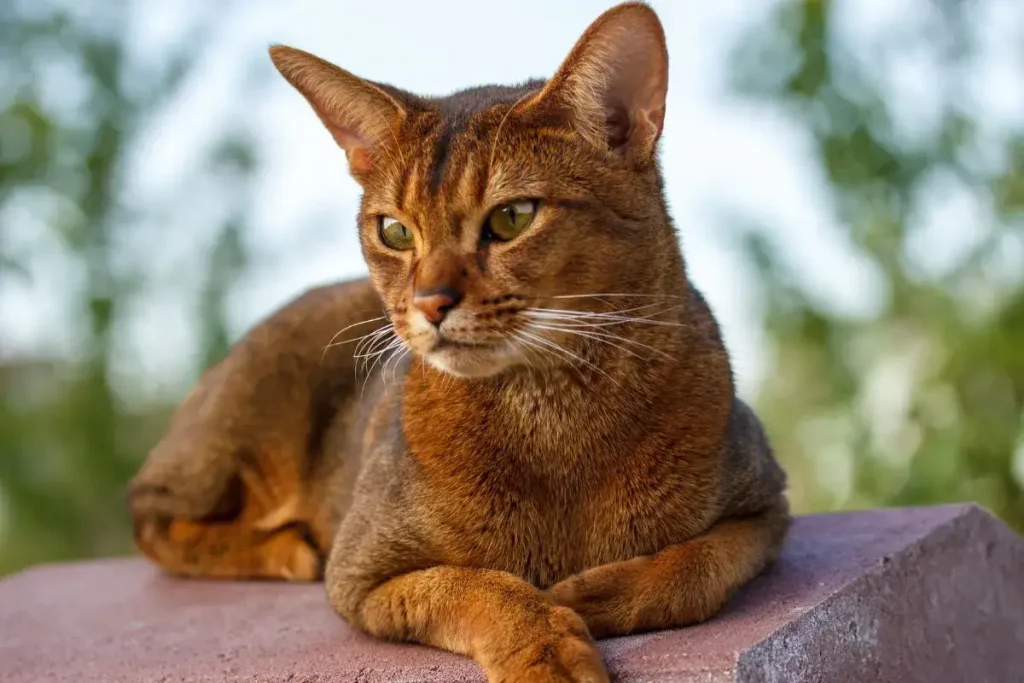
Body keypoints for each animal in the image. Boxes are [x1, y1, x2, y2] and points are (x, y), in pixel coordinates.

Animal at [123, 2, 786, 679]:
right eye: (393, 231)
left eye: (513, 217)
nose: (429, 303)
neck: (553, 414)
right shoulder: (364, 570)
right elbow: (477, 587)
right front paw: (547, 649)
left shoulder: (765, 507)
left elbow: (696, 566)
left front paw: (592, 594)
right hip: (245, 434)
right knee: (148, 514)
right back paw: (287, 549)